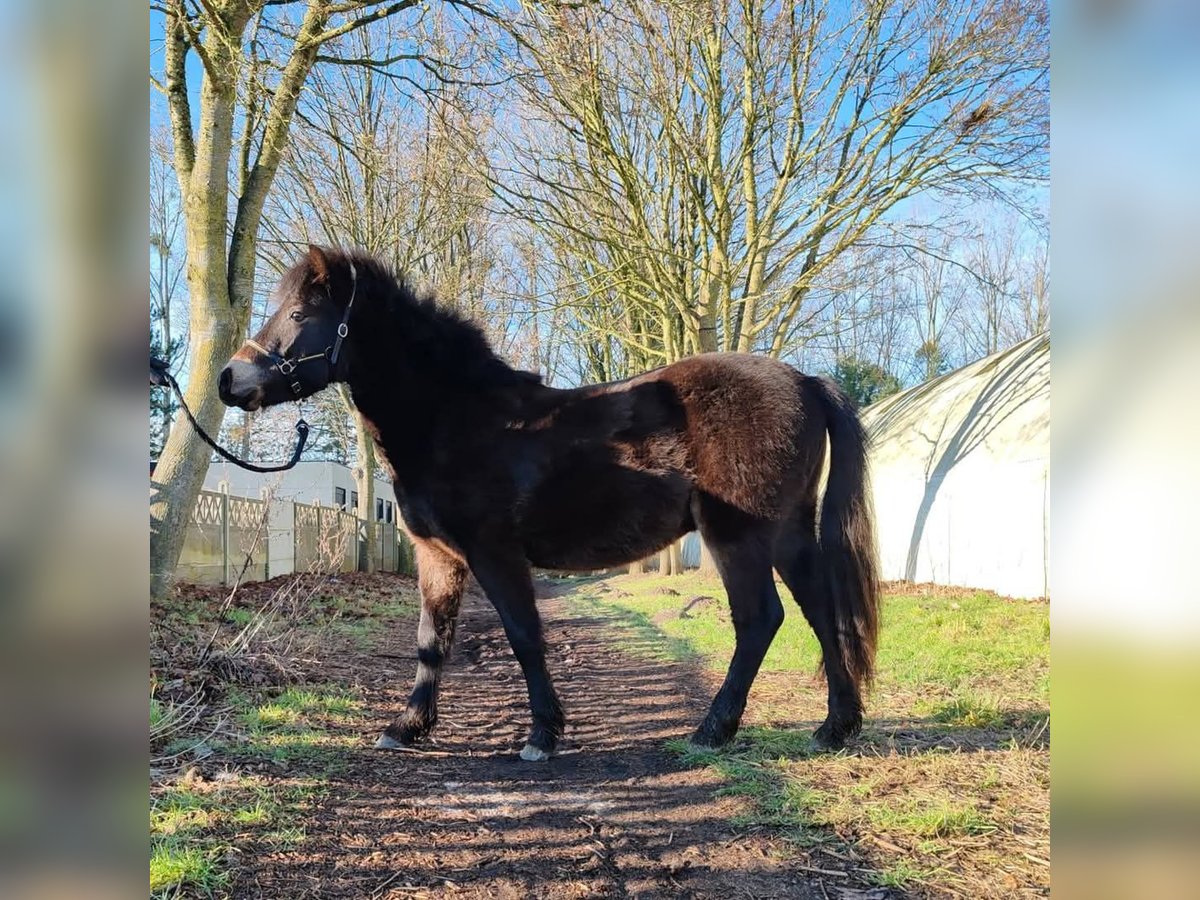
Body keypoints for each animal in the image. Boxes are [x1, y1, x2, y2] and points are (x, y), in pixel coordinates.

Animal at [220, 247, 883, 763]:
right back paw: (834, 727)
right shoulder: (438, 557)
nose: (230, 380)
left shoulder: (495, 554)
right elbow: (433, 639)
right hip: (789, 533)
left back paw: (713, 730)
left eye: (300, 314)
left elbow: (523, 636)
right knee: (822, 613)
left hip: (737, 537)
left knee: (759, 619)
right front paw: (407, 727)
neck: (456, 417)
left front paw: (542, 735)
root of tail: (803, 381)